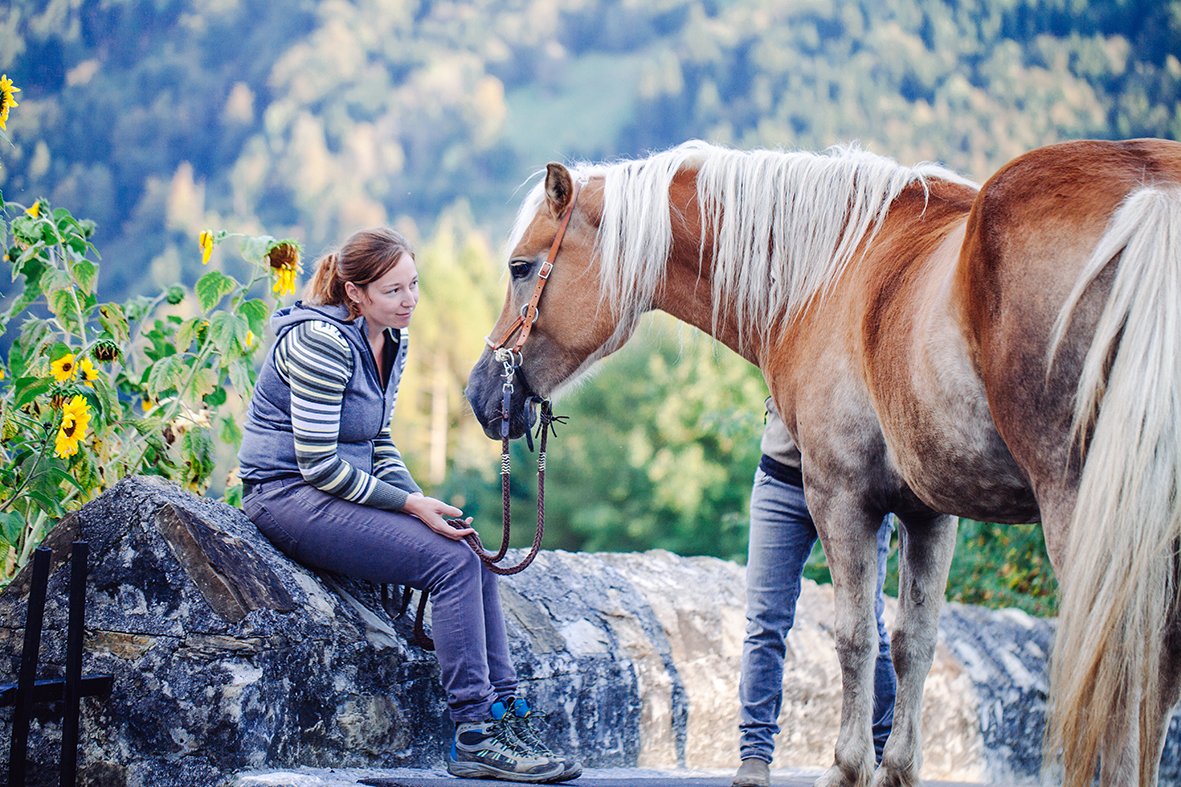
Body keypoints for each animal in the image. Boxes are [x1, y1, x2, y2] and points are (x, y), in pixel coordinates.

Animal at [460, 139, 1181, 784]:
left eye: (521, 266)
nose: (480, 392)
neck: (830, 271)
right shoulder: (930, 513)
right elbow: (912, 640)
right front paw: (897, 770)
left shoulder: (841, 497)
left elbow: (854, 635)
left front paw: (848, 766)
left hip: (1080, 514)